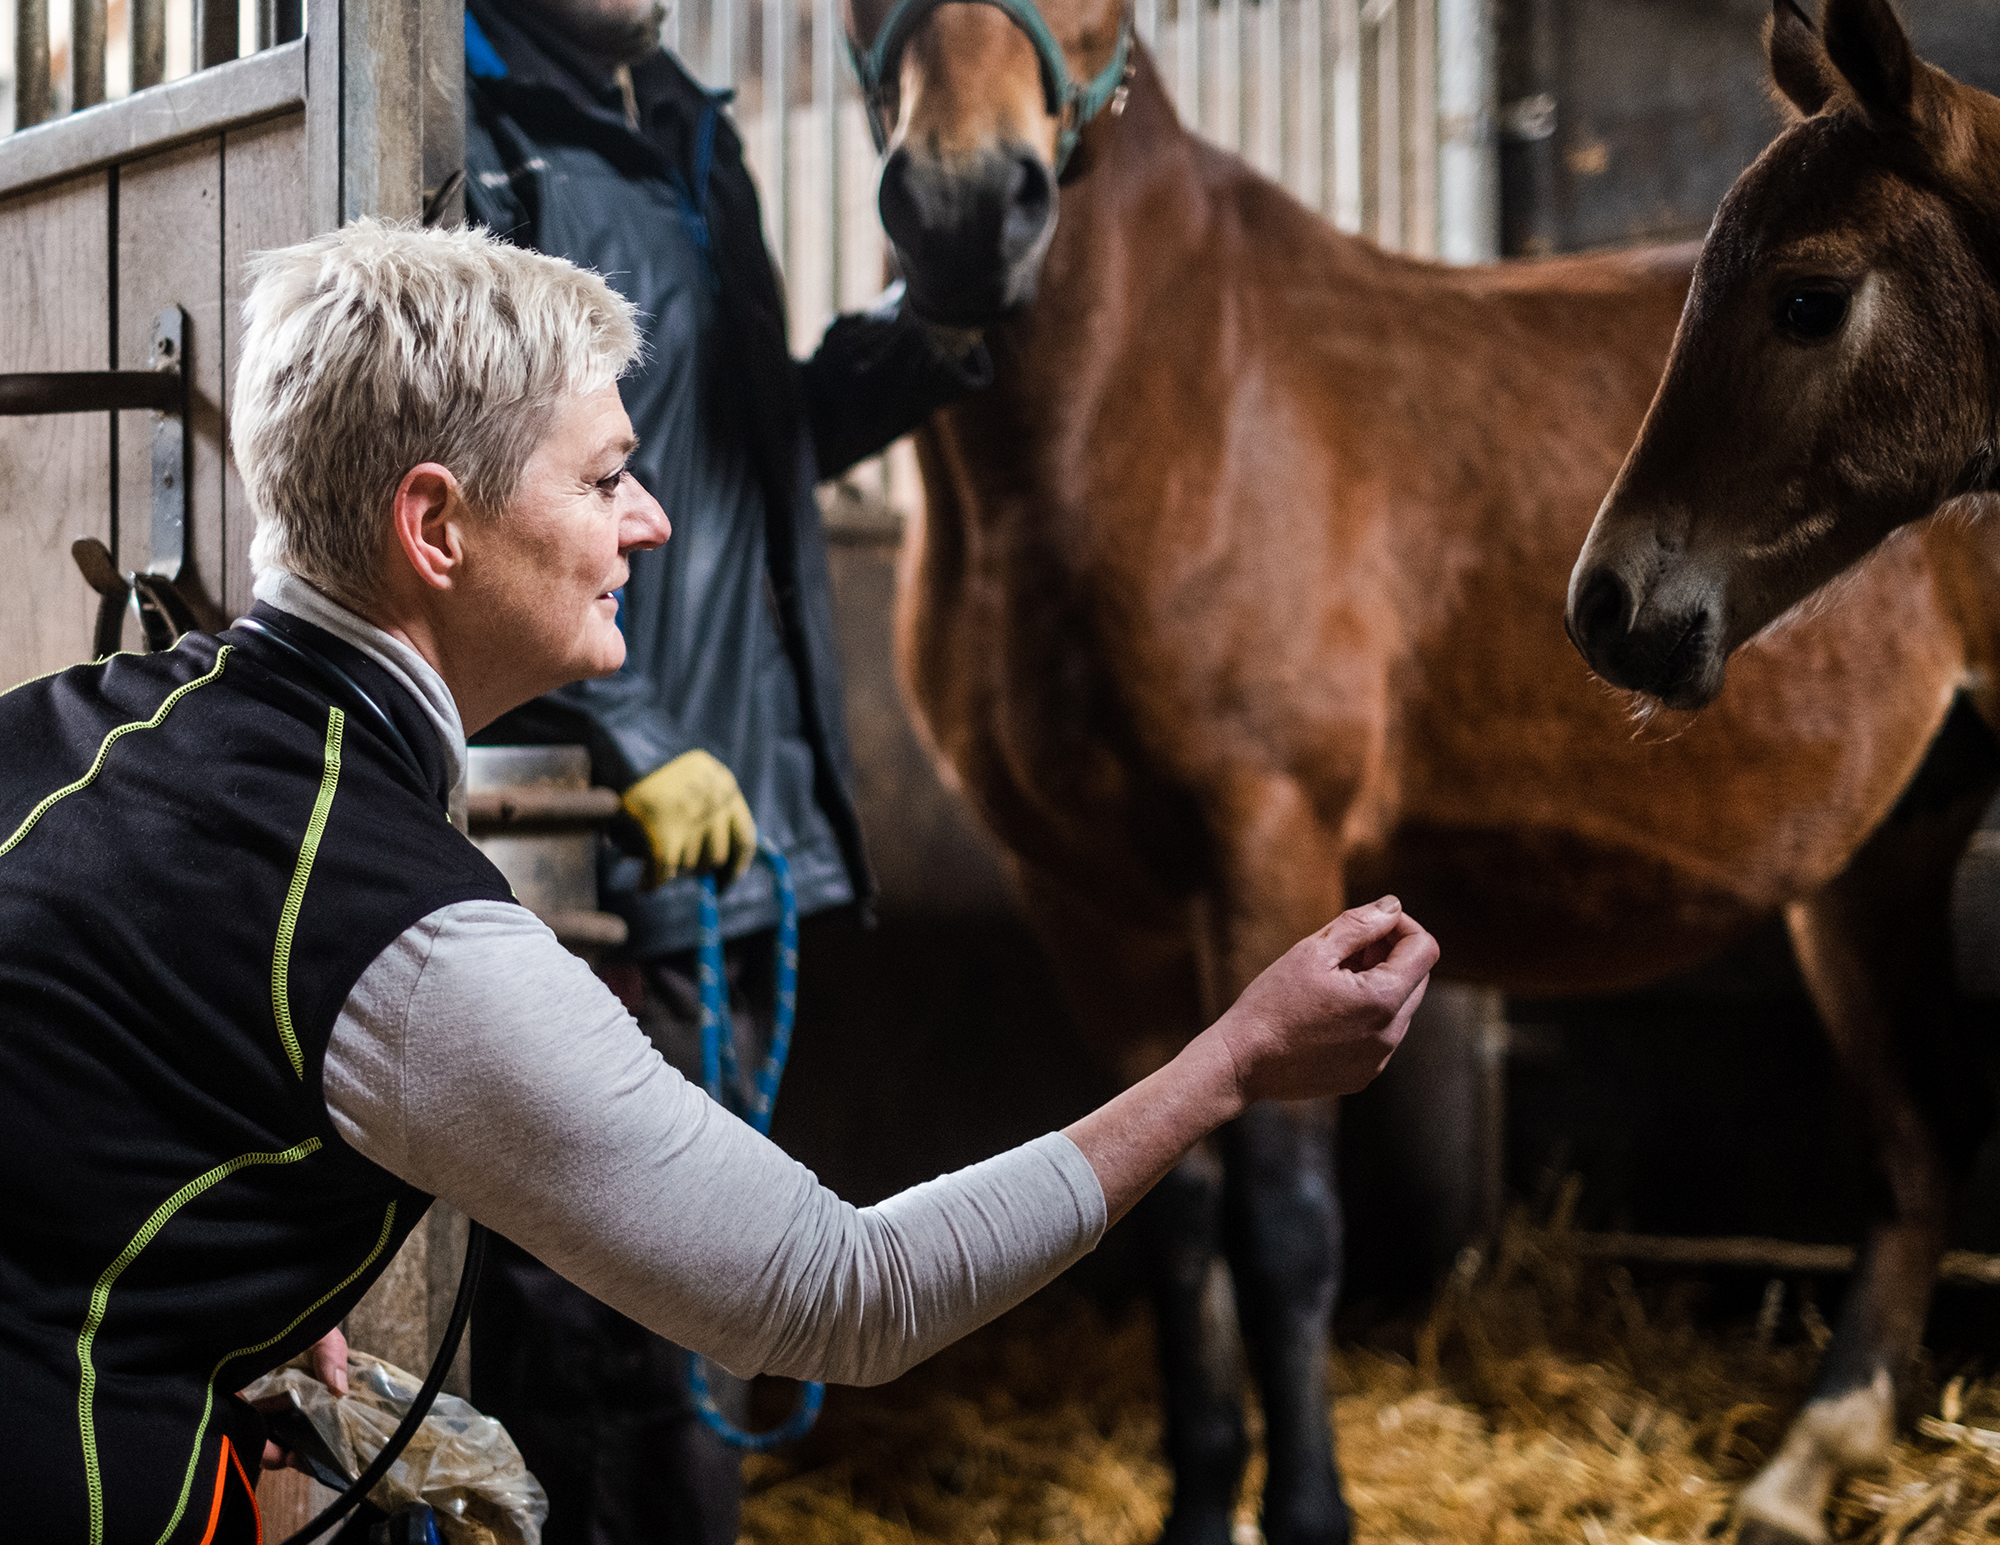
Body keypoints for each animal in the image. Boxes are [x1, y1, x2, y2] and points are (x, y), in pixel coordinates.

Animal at [852, 3, 2000, 1528]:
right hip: (1879, 860)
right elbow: (1167, 1204)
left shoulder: (1268, 845)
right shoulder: (1091, 909)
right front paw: (1201, 1502)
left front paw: (1307, 1512)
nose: (964, 214)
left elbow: (1284, 1224)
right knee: (1920, 1138)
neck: (1168, 395)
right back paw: (1807, 1464)